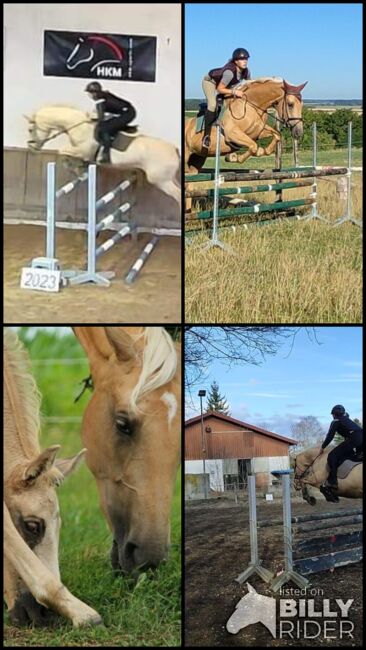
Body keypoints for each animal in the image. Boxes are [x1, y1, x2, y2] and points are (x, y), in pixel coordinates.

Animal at [24, 105, 182, 208]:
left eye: (30, 129)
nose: (32, 148)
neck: (78, 126)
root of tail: (174, 149)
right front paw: (80, 168)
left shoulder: (83, 150)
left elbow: (61, 152)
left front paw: (76, 170)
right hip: (169, 178)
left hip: (161, 181)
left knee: (178, 195)